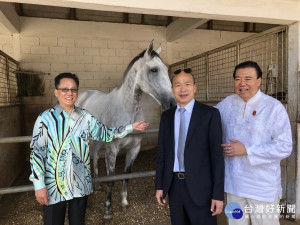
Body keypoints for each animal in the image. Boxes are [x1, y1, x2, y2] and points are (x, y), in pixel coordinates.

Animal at [76, 40, 177, 218]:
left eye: (166, 69)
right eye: (154, 69)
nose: (172, 103)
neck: (127, 109)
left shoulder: (134, 148)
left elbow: (127, 175)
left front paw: (124, 201)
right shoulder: (112, 149)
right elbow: (111, 179)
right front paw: (107, 210)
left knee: (95, 156)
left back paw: (98, 185)